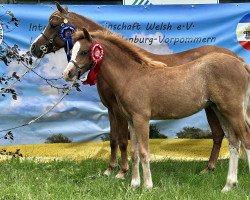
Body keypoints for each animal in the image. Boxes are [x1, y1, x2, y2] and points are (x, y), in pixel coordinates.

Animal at [30, 2, 247, 177]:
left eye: (53, 23)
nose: (34, 48)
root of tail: (238, 59)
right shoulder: (111, 109)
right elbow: (113, 139)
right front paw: (110, 169)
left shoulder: (119, 110)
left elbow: (122, 140)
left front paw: (123, 171)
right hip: (212, 107)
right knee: (220, 135)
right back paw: (209, 169)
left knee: (224, 134)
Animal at [63, 28, 250, 191]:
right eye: (71, 51)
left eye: (84, 52)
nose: (67, 73)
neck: (131, 76)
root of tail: (241, 63)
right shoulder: (131, 119)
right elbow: (134, 152)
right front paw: (134, 184)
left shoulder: (141, 118)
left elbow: (144, 152)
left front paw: (147, 186)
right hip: (220, 111)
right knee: (234, 143)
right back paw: (228, 186)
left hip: (232, 111)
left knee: (245, 138)